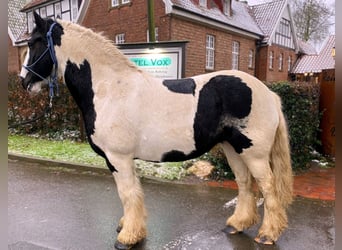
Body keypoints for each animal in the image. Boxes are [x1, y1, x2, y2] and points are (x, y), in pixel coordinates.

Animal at [20, 13, 294, 248]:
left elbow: (128, 194)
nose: (24, 82)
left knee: (268, 188)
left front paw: (127, 237)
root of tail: (269, 94)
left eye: (33, 43)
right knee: (245, 184)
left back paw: (268, 234)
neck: (109, 88)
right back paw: (237, 224)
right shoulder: (122, 160)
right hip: (232, 148)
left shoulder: (118, 158)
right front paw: (128, 228)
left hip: (254, 153)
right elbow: (131, 194)